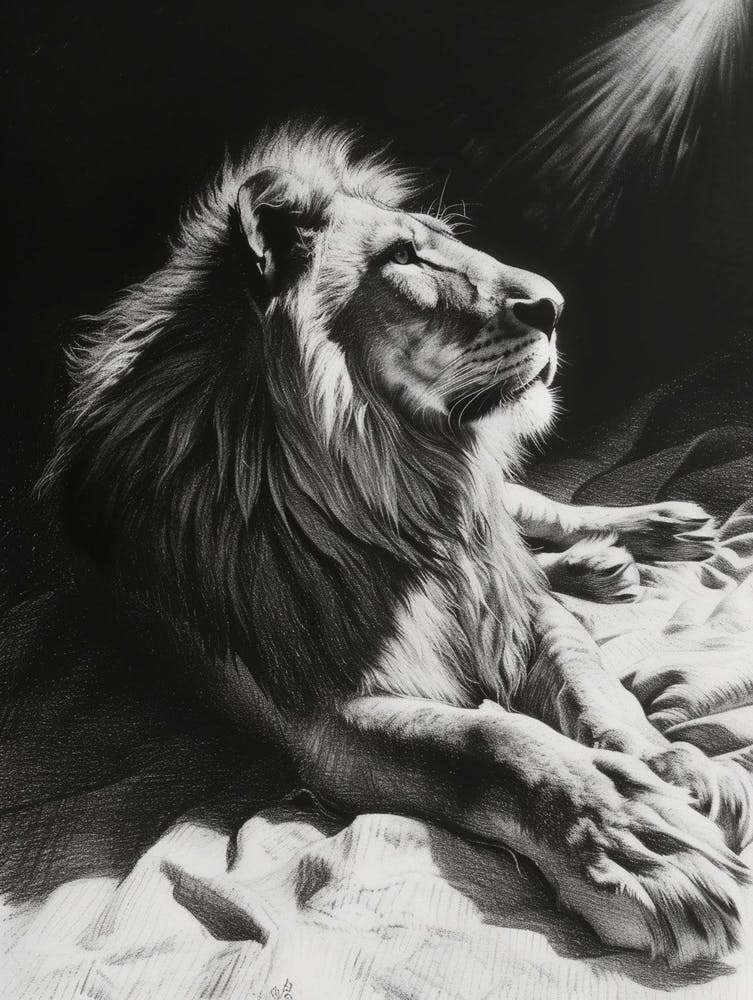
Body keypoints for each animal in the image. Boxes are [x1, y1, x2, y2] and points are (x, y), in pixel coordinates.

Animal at [43, 122, 752, 967]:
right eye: (404, 258)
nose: (554, 305)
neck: (399, 491)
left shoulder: (509, 603)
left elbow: (593, 686)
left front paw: (670, 765)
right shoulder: (325, 719)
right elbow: (492, 744)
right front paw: (635, 844)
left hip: (511, 518)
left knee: (540, 513)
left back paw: (658, 531)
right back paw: (600, 568)